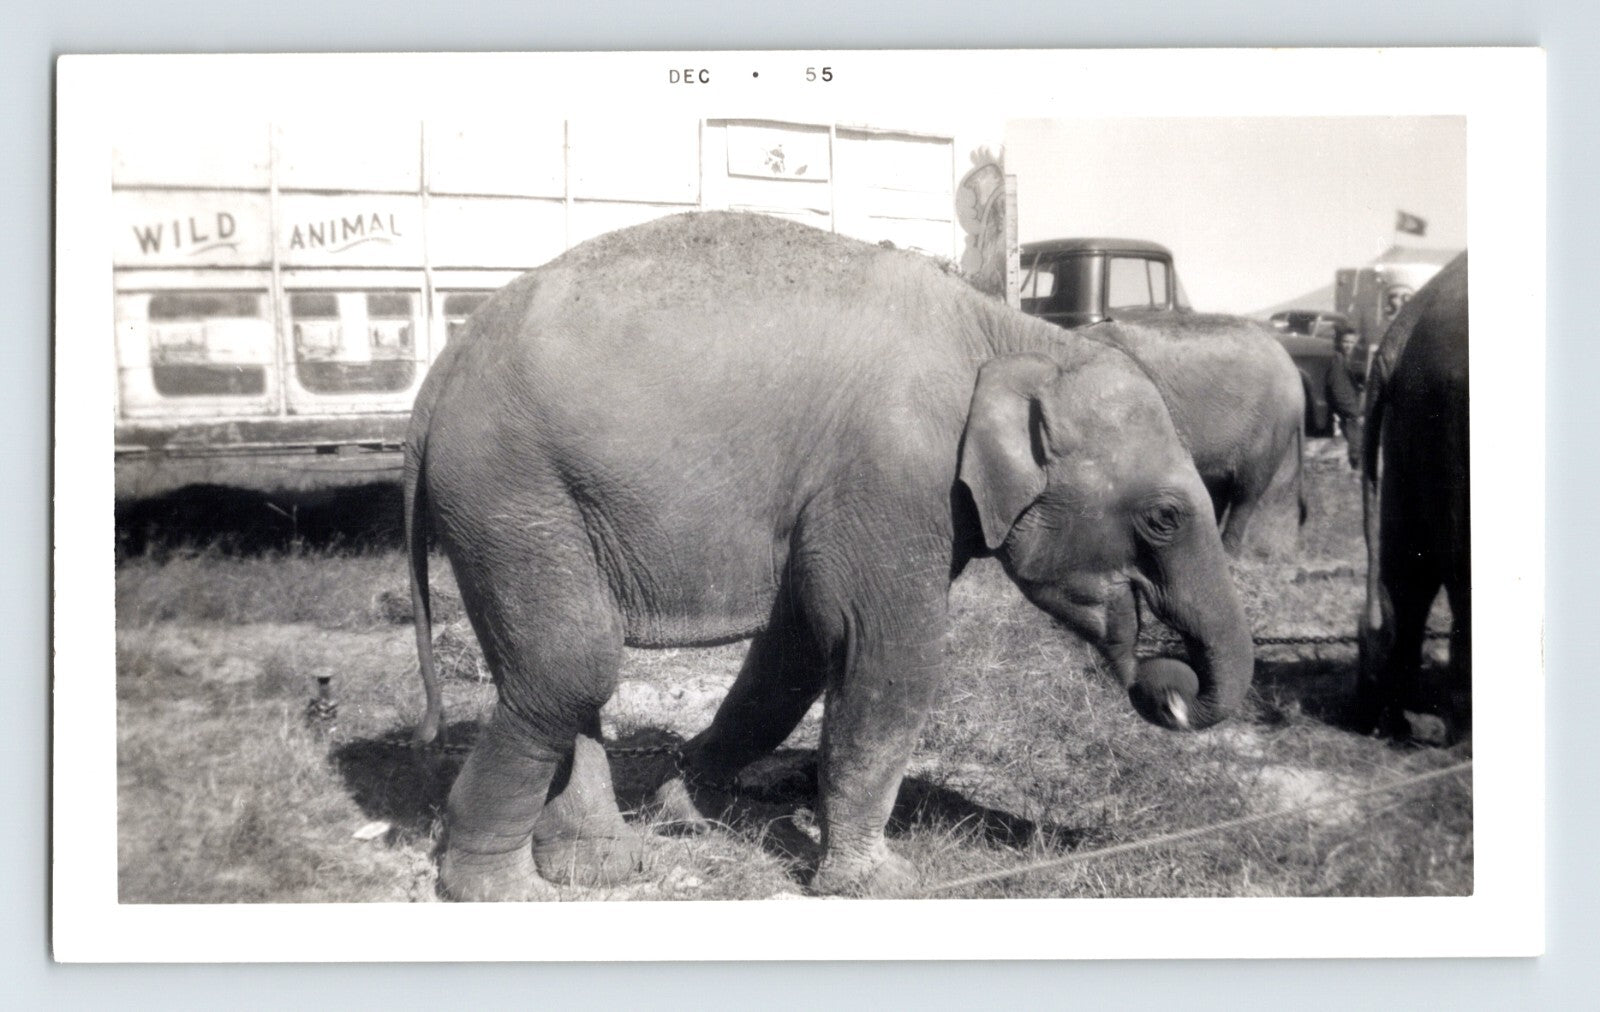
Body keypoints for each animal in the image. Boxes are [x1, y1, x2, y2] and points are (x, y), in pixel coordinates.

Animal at [403, 211, 1255, 901]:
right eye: (1164, 518)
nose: (1169, 684)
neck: (1013, 336)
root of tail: (438, 378)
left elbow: (797, 650)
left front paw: (686, 807)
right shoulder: (893, 473)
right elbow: (888, 653)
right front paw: (881, 884)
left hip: (515, 507)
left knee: (562, 672)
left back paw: (605, 866)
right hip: (511, 490)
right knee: (570, 666)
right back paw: (500, 891)